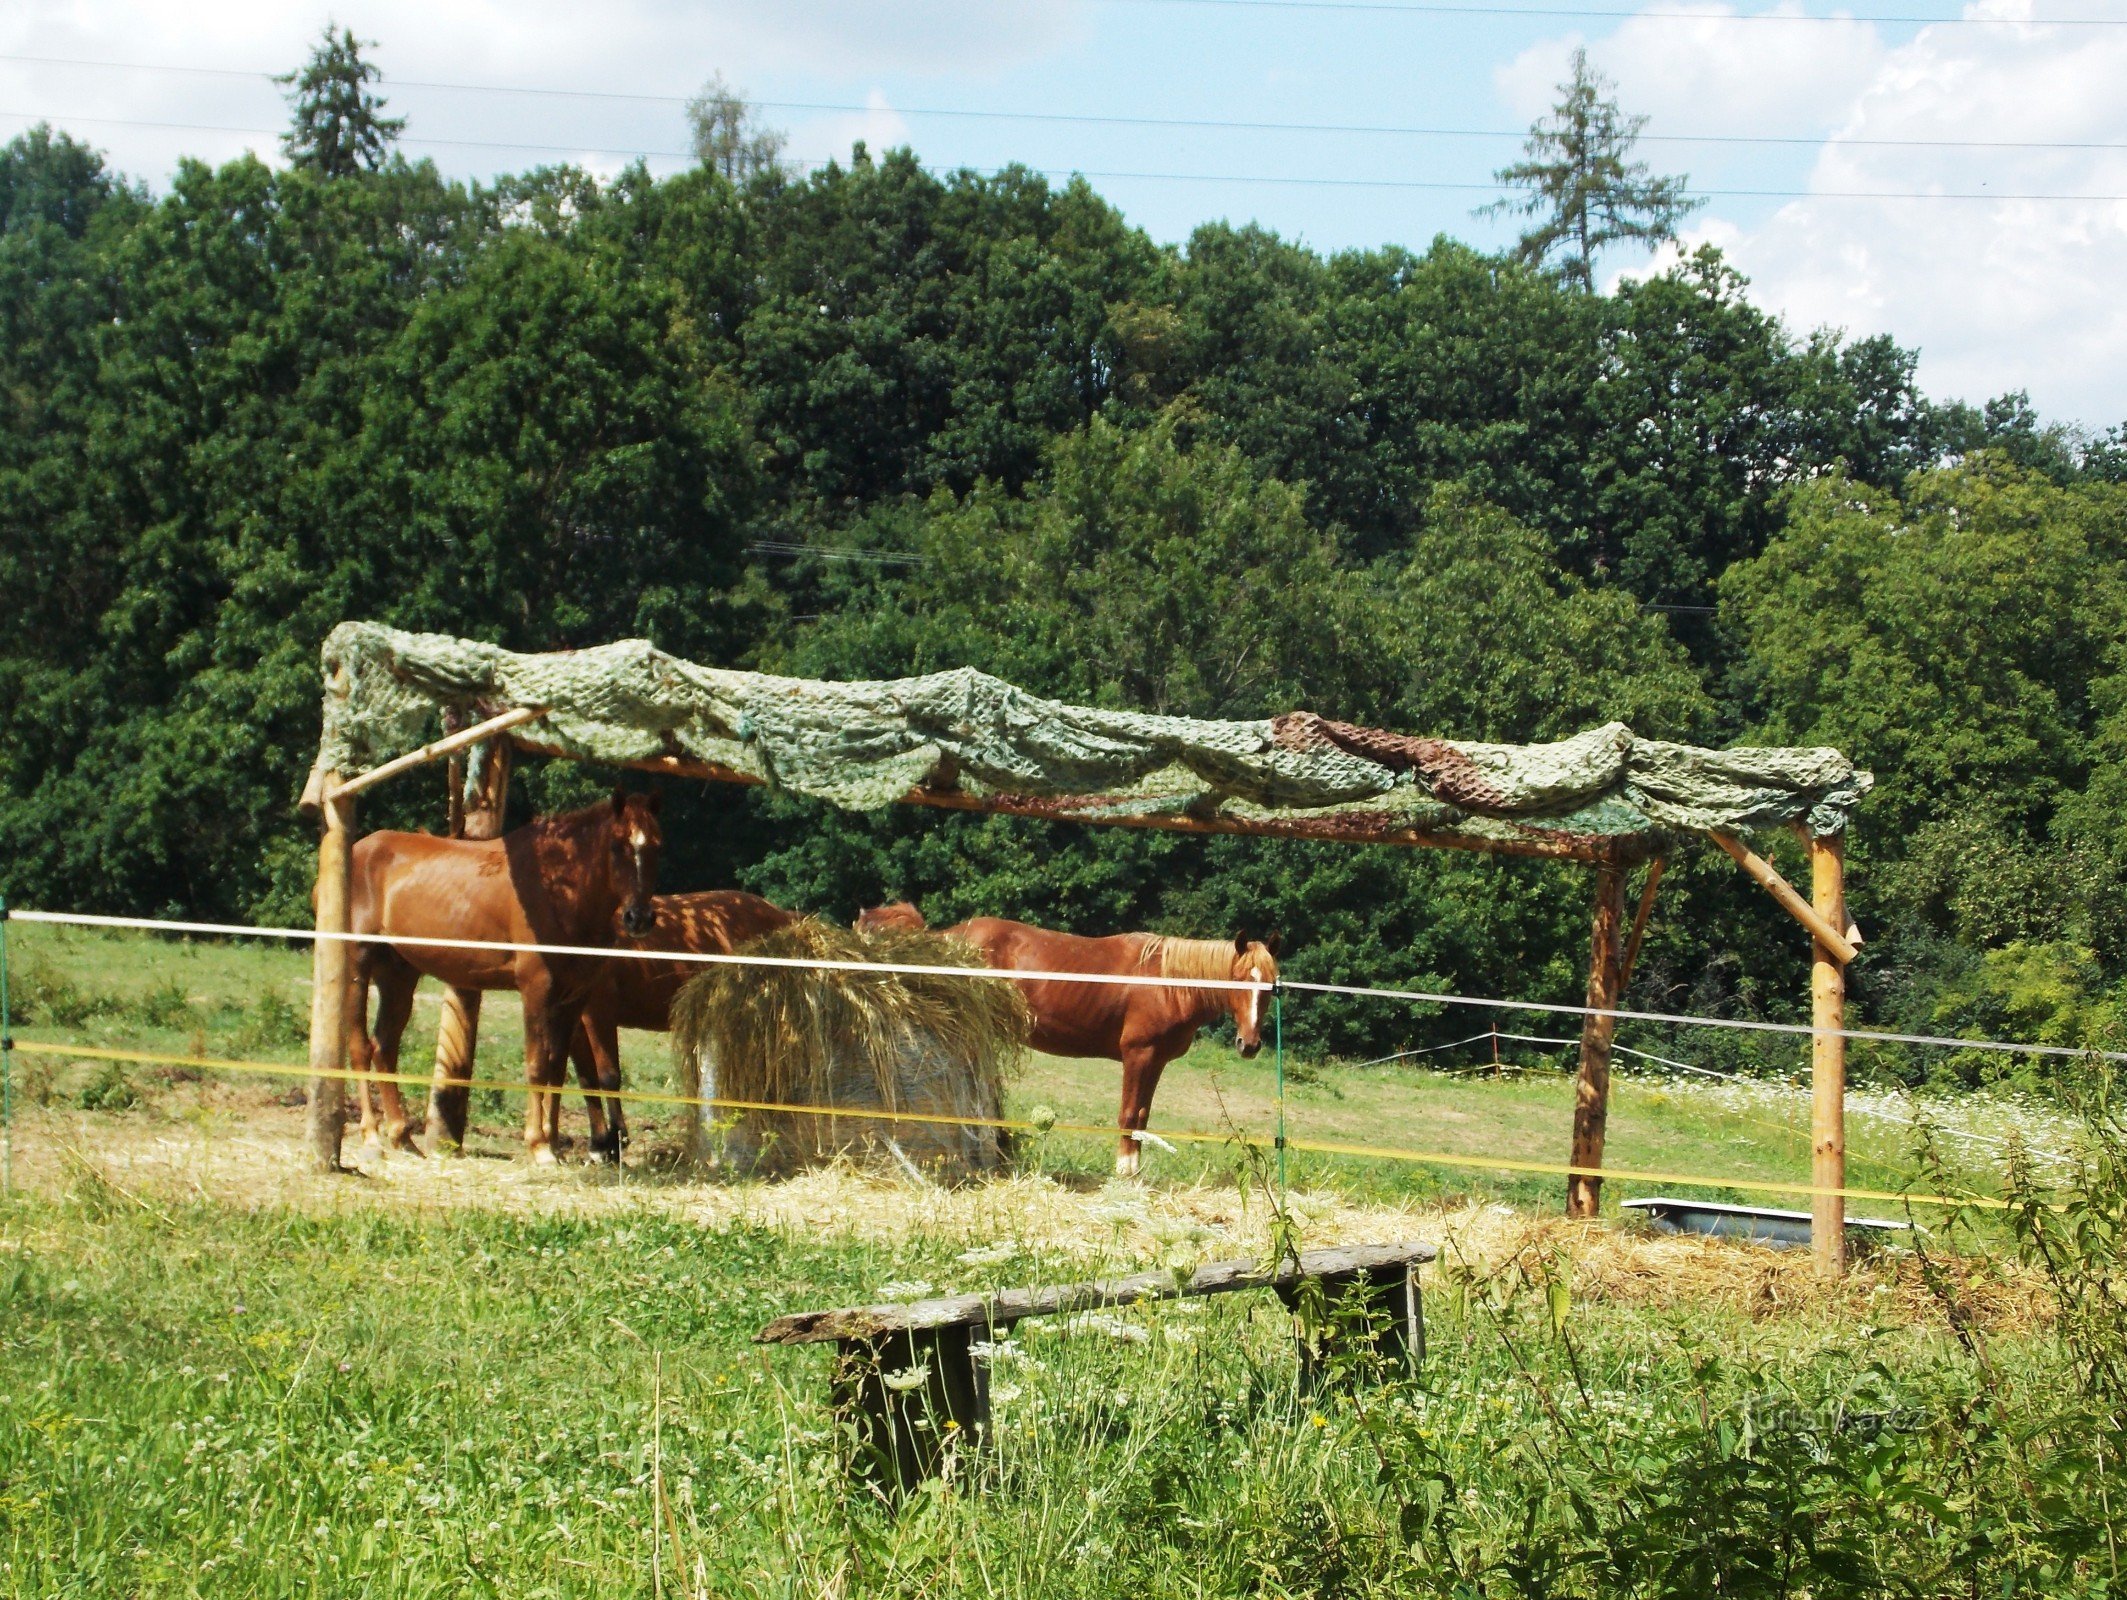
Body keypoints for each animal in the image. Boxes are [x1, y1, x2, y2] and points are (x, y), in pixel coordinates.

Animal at [344, 791, 659, 1157]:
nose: (639, 918)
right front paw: (538, 1146)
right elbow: (537, 1065)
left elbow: (556, 1068)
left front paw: (553, 1142)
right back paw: (371, 1135)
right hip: (359, 964)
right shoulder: (537, 989)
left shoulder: (573, 998)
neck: (557, 888)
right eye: (616, 845)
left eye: (656, 845)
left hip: (398, 975)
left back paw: (403, 1137)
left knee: (384, 1047)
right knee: (360, 1046)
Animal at [565, 893, 799, 1157]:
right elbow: (586, 1079)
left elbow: (608, 1076)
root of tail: (782, 914)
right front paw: (599, 1144)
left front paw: (617, 1141)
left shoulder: (598, 1011)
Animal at [846, 906, 1276, 1182]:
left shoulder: (1156, 1061)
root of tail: (947, 938)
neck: (1168, 982)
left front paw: (1135, 1171)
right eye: (1239, 980)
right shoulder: (1138, 1055)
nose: (1249, 1044)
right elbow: (1128, 1115)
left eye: (1271, 985)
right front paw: (1124, 1172)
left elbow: (1141, 1118)